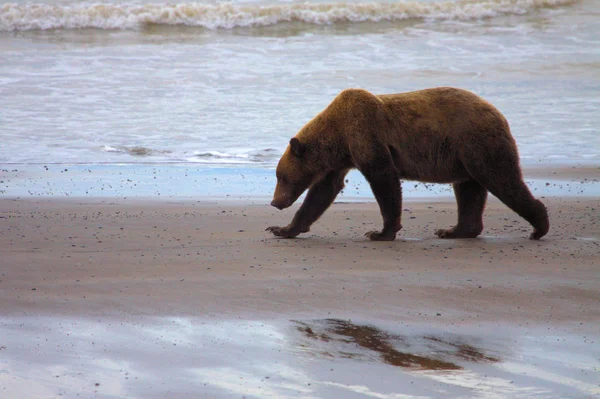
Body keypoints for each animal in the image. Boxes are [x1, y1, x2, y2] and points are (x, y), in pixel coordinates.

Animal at [268, 88, 548, 241]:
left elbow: (384, 180)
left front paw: (380, 232)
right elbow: (322, 192)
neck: (338, 136)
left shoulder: (366, 135)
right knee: (469, 190)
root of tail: (500, 114)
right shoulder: (341, 159)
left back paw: (539, 225)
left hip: (477, 142)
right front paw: (282, 229)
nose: (274, 202)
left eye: (281, 177)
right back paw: (454, 230)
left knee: (502, 180)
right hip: (463, 155)